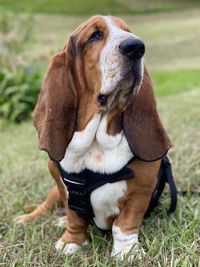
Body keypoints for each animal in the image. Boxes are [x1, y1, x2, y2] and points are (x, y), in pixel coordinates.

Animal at [16, 15, 172, 262]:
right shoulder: (63, 188)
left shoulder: (141, 190)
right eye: (95, 36)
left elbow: (124, 224)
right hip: (53, 193)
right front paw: (71, 242)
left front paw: (126, 251)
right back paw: (26, 219)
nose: (136, 47)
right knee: (45, 207)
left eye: (129, 32)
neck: (96, 142)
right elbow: (74, 217)